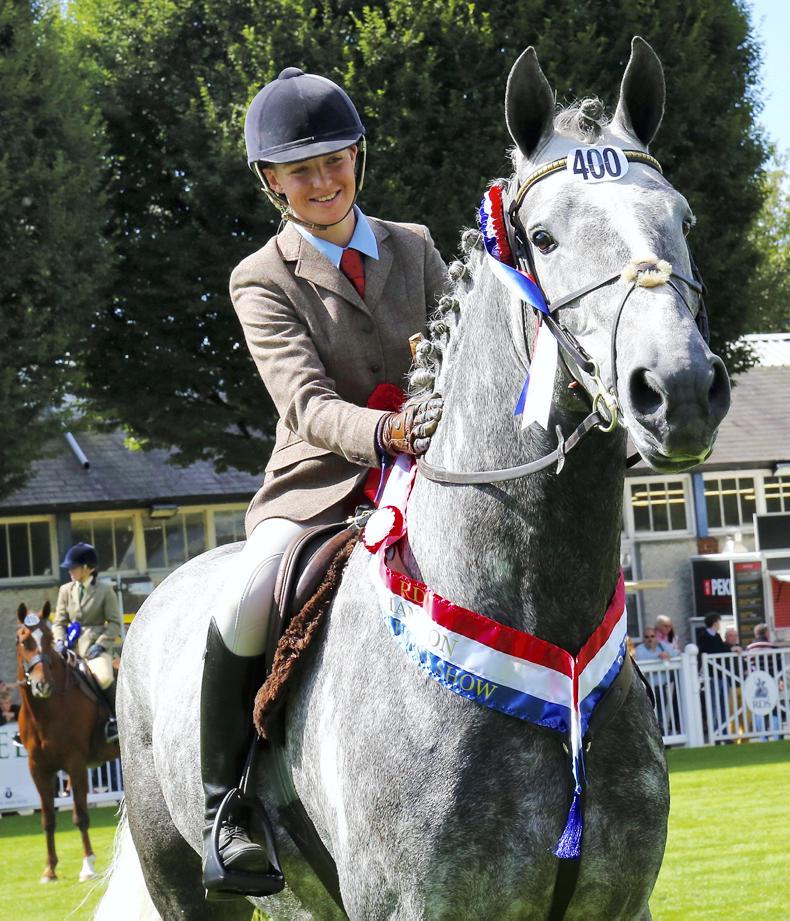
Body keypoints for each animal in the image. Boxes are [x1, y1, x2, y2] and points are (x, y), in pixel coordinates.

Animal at [15, 602, 120, 883]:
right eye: (24, 640)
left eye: (49, 640)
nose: (42, 686)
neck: (46, 710)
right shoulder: (38, 769)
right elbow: (48, 819)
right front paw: (50, 870)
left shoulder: (75, 764)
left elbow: (80, 816)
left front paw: (88, 866)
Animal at [99, 37, 730, 921]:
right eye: (543, 236)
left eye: (683, 219)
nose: (678, 389)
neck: (547, 634)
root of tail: (159, 594)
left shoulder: (618, 905)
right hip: (182, 881)